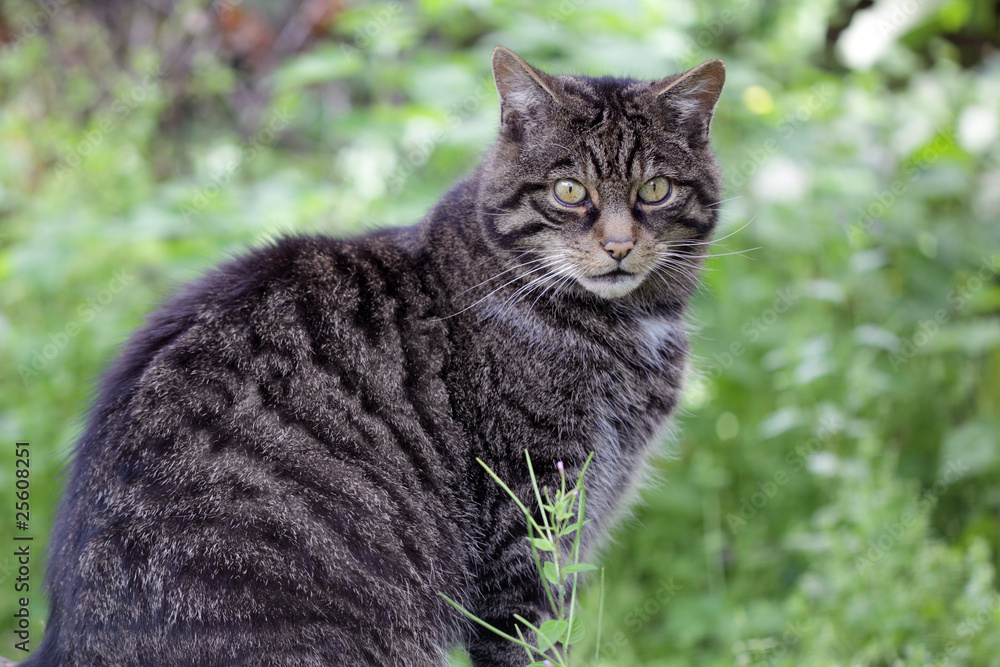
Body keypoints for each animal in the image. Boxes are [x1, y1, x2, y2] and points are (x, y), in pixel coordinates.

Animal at [25, 47, 728, 667]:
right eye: (568, 190)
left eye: (656, 189)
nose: (619, 246)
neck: (630, 328)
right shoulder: (527, 527)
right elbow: (531, 645)